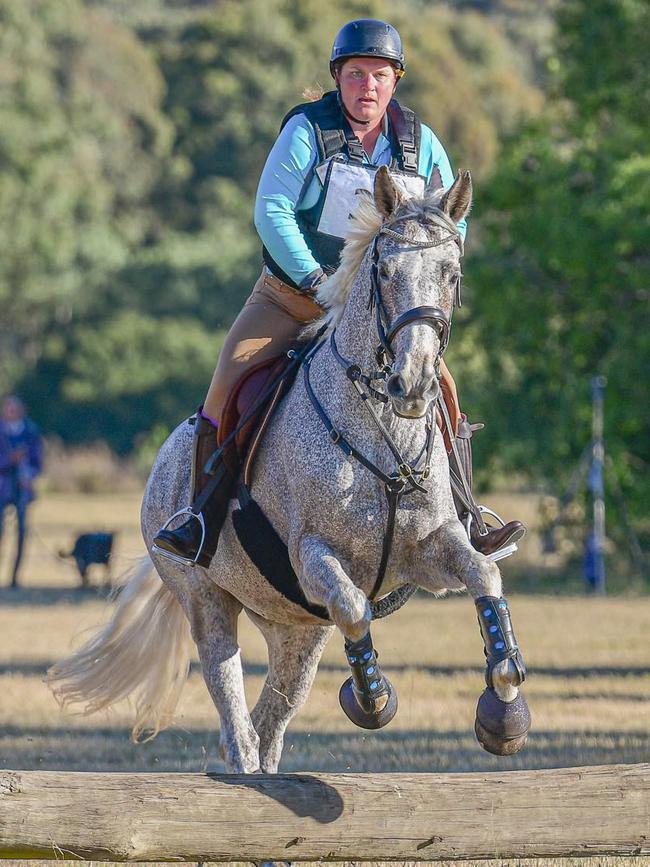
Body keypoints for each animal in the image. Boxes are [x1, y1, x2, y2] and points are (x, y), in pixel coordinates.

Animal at [49, 168, 528, 772]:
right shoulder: (312, 554)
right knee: (236, 719)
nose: (412, 384)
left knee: (270, 722)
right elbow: (353, 606)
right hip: (206, 600)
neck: (381, 437)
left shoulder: (429, 549)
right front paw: (372, 700)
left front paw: (504, 709)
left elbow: (484, 575)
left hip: (294, 627)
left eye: (452, 274)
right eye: (384, 271)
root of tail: (163, 462)